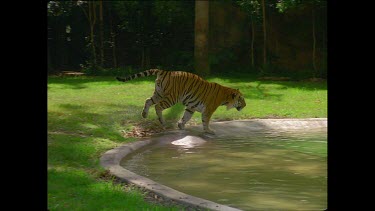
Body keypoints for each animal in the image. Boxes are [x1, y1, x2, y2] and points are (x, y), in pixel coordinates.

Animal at [117, 70, 247, 134]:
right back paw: (163, 122)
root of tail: (165, 71)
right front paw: (209, 131)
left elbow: (186, 117)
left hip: (158, 94)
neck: (225, 96)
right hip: (172, 98)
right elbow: (205, 121)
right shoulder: (208, 110)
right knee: (158, 106)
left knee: (148, 100)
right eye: (241, 99)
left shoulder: (191, 107)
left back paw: (144, 114)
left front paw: (181, 125)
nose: (245, 105)